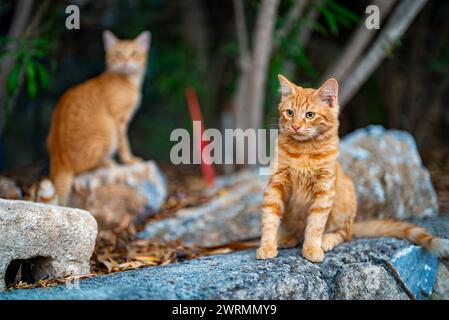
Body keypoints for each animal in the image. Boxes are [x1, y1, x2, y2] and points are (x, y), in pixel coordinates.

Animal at [47, 30, 150, 205]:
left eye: (134, 53)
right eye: (117, 53)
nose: (126, 61)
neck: (129, 81)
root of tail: (60, 159)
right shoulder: (118, 120)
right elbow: (124, 144)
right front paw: (129, 160)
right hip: (108, 131)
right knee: (82, 168)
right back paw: (106, 162)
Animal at [256, 75, 448, 262]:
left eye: (310, 115)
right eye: (289, 113)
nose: (295, 126)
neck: (304, 151)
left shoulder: (324, 190)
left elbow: (315, 224)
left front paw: (311, 248)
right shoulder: (276, 184)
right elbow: (269, 218)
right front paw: (267, 246)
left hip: (345, 199)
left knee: (344, 234)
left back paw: (326, 240)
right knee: (298, 232)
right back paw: (286, 238)